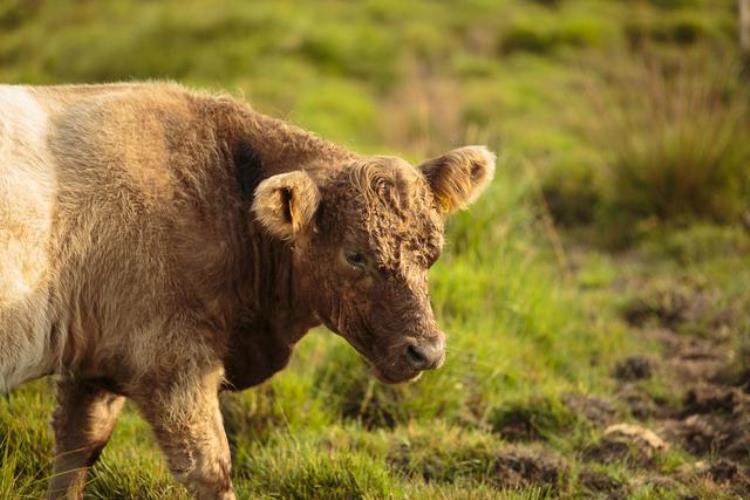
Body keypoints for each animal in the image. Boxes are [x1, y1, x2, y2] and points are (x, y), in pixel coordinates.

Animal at [0, 84, 494, 498]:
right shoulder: (173, 363)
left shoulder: (93, 364)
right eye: (354, 255)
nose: (426, 351)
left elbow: (77, 452)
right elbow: (210, 468)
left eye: (434, 251)